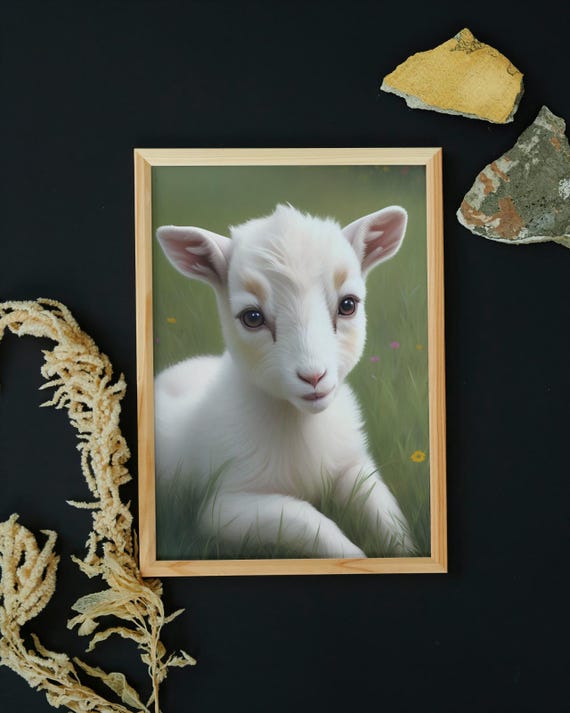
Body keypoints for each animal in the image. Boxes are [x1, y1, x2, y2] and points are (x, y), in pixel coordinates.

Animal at [155, 204, 414, 558]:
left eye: (348, 304)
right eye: (252, 317)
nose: (313, 376)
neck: (302, 425)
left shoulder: (353, 466)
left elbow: (386, 512)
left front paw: (408, 552)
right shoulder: (224, 508)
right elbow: (307, 521)